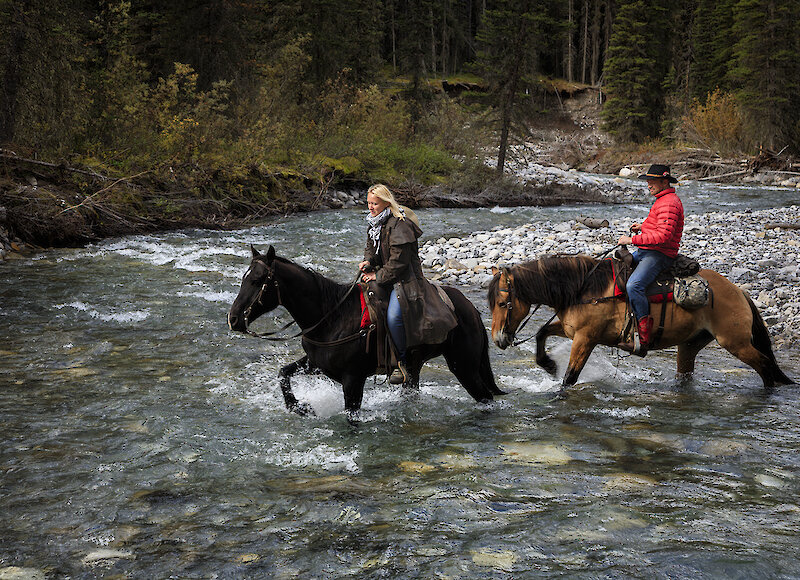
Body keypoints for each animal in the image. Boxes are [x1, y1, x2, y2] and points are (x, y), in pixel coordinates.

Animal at [227, 246, 500, 416]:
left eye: (257, 281)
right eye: (244, 278)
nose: (233, 319)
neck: (332, 317)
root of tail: (470, 309)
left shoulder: (353, 380)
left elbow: (351, 416)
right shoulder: (316, 364)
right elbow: (283, 373)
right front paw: (300, 407)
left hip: (463, 366)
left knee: (486, 396)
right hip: (416, 368)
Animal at [488, 256, 792, 392]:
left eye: (502, 304)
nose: (498, 339)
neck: (585, 289)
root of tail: (739, 291)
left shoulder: (585, 338)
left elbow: (570, 377)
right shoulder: (569, 329)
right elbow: (541, 333)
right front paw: (549, 365)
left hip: (735, 342)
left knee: (764, 365)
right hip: (690, 345)